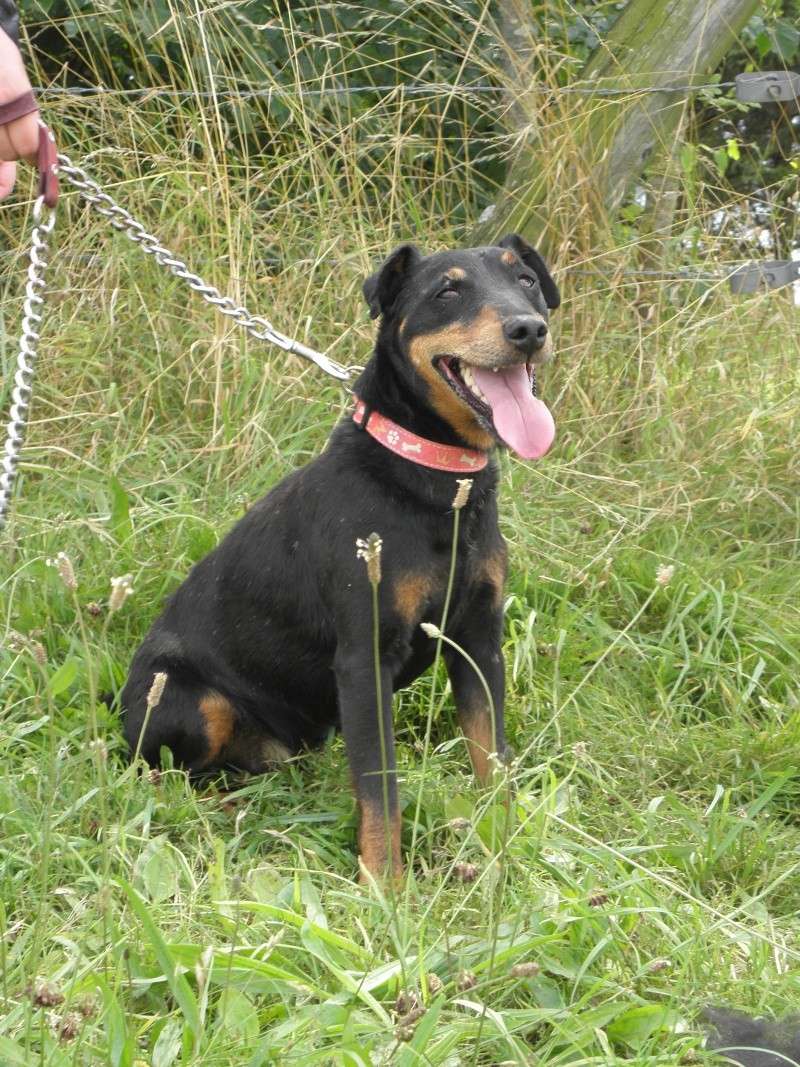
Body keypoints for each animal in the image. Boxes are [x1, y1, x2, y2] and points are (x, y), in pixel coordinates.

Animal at [125, 233, 558, 874]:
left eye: (526, 280)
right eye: (447, 291)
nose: (528, 330)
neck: (434, 481)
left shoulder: (478, 641)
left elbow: (492, 759)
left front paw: (504, 845)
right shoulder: (364, 660)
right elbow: (381, 792)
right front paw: (385, 886)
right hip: (187, 700)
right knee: (164, 773)